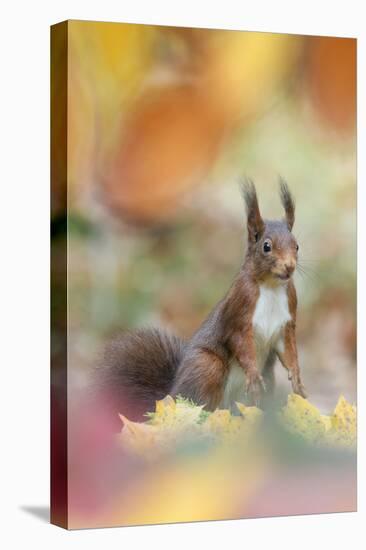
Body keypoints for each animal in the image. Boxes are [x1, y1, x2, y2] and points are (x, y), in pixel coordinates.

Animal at [96, 179, 308, 420]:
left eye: (297, 246)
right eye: (266, 246)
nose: (289, 267)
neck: (271, 287)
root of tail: (169, 397)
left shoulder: (286, 320)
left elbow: (288, 351)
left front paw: (297, 380)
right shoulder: (240, 309)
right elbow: (240, 343)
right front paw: (253, 376)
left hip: (266, 380)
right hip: (208, 366)